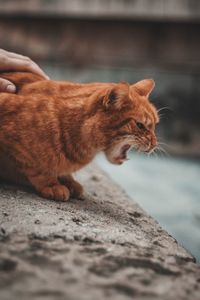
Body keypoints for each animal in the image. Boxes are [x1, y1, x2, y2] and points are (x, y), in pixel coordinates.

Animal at [0, 71, 159, 200]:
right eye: (140, 125)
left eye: (155, 125)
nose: (155, 143)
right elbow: (36, 168)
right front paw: (52, 184)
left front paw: (69, 181)